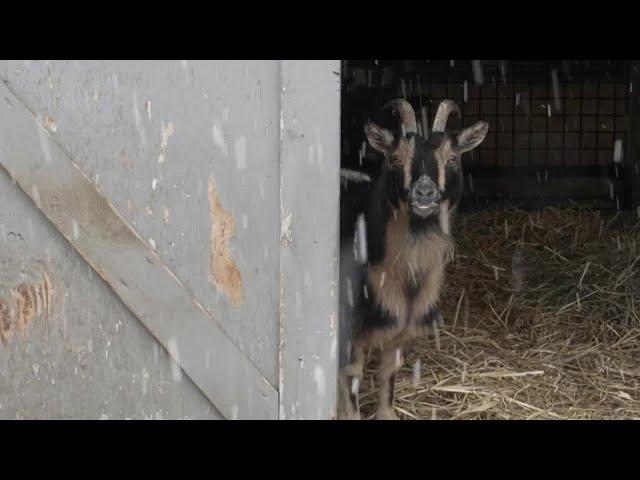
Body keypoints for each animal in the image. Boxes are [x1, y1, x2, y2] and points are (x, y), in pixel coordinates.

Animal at [338, 98, 488, 420]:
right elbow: (351, 378)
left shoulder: (402, 332)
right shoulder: (349, 331)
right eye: (395, 158)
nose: (424, 192)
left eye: (452, 159)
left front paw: (387, 414)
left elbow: (388, 375)